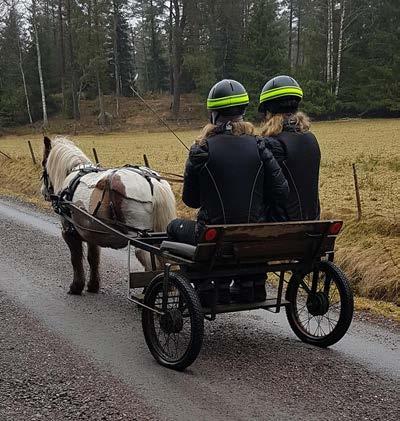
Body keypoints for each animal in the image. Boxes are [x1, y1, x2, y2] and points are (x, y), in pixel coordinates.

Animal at [41, 136, 177, 294]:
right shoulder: (91, 232)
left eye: (43, 163)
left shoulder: (69, 232)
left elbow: (75, 258)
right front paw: (93, 285)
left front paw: (76, 286)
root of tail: (153, 181)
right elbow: (93, 258)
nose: (43, 191)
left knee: (149, 264)